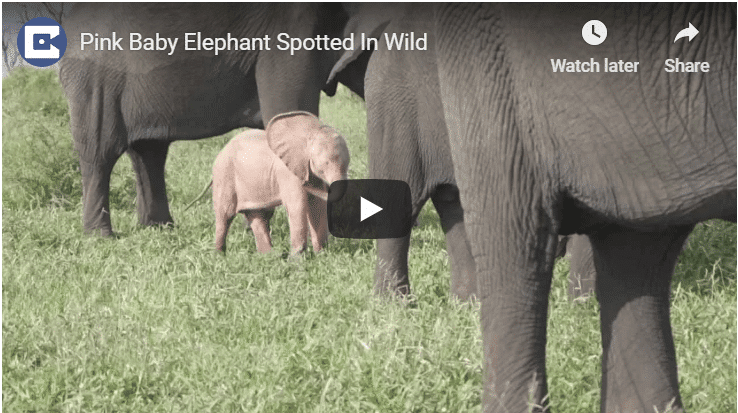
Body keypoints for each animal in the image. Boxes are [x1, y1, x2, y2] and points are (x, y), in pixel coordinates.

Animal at [58, 3, 388, 236]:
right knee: (100, 153)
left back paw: (159, 228)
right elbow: (284, 115)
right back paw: (101, 236)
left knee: (149, 153)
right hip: (97, 83)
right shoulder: (290, 37)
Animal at [212, 111, 349, 254]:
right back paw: (220, 255)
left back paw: (269, 255)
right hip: (224, 175)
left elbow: (317, 205)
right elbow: (297, 205)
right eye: (325, 163)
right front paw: (297, 258)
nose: (306, 184)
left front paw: (321, 254)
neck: (309, 133)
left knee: (259, 216)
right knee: (225, 216)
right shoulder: (288, 173)